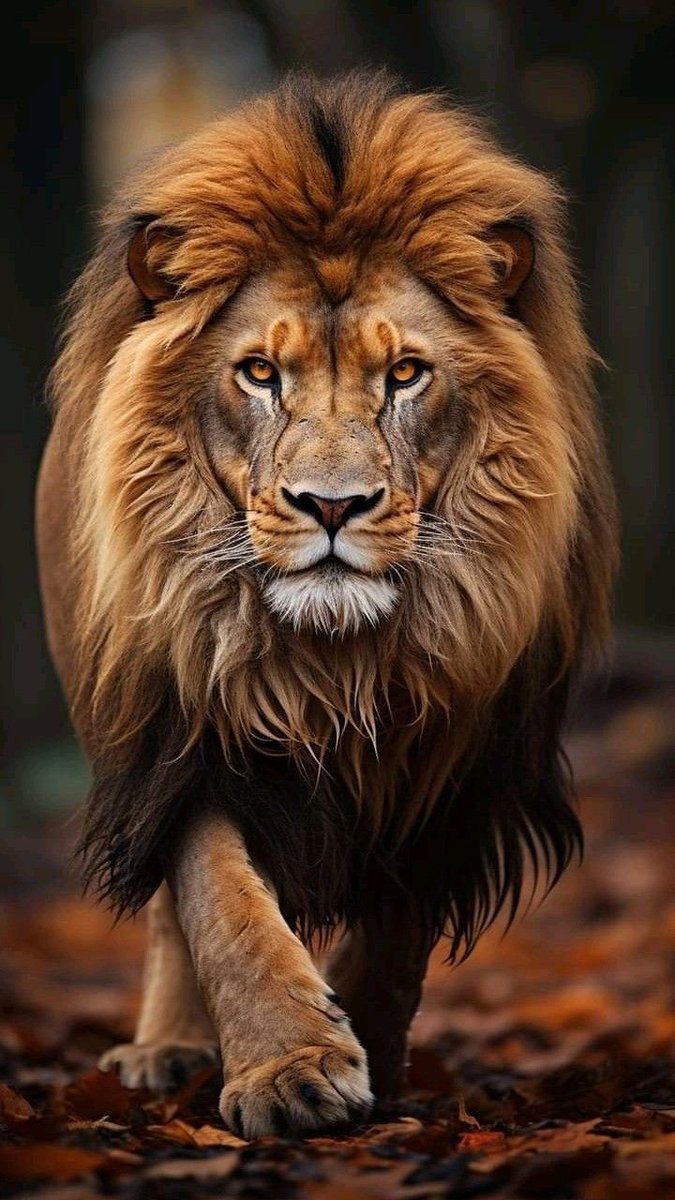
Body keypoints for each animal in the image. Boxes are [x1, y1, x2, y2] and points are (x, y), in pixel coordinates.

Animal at [36, 72, 617, 1137]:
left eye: (406, 374)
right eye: (260, 373)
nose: (333, 505)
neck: (338, 660)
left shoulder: (458, 758)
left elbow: (394, 941)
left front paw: (370, 1060)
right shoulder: (184, 735)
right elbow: (218, 903)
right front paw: (290, 1068)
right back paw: (167, 1050)